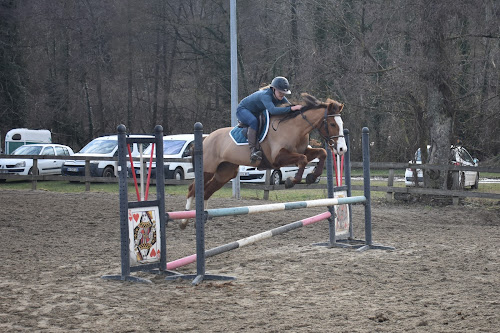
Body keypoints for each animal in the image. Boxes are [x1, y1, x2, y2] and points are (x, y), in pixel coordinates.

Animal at [180, 93, 348, 228]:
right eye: (332, 124)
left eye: (341, 125)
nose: (342, 149)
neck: (294, 128)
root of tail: (206, 138)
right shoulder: (278, 158)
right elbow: (303, 159)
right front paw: (292, 181)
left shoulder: (301, 151)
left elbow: (321, 153)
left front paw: (312, 176)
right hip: (207, 169)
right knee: (192, 189)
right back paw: (184, 221)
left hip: (225, 173)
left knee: (206, 192)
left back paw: (201, 219)